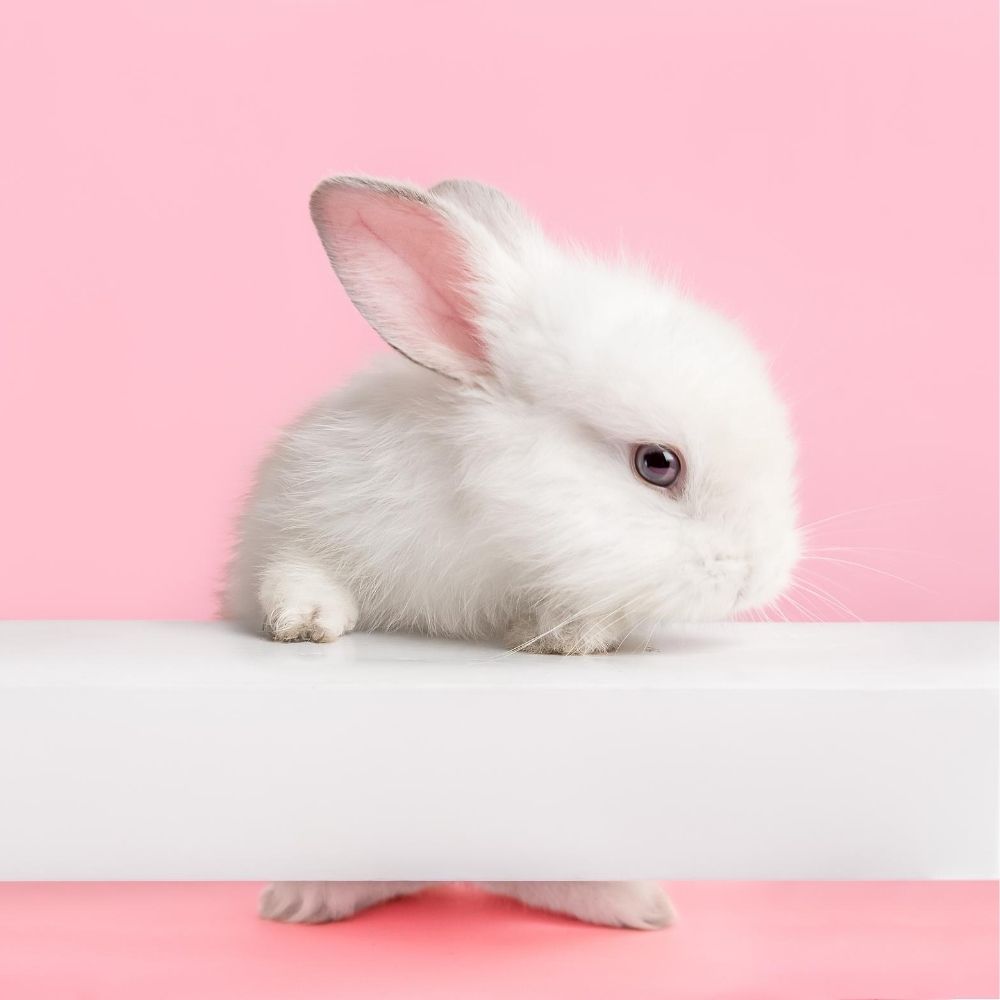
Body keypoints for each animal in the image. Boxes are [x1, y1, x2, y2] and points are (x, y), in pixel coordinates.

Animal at [225, 174, 800, 931]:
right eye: (657, 463)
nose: (759, 575)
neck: (493, 532)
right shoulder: (294, 521)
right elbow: (297, 574)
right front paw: (306, 625)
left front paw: (566, 637)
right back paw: (304, 900)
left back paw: (636, 907)